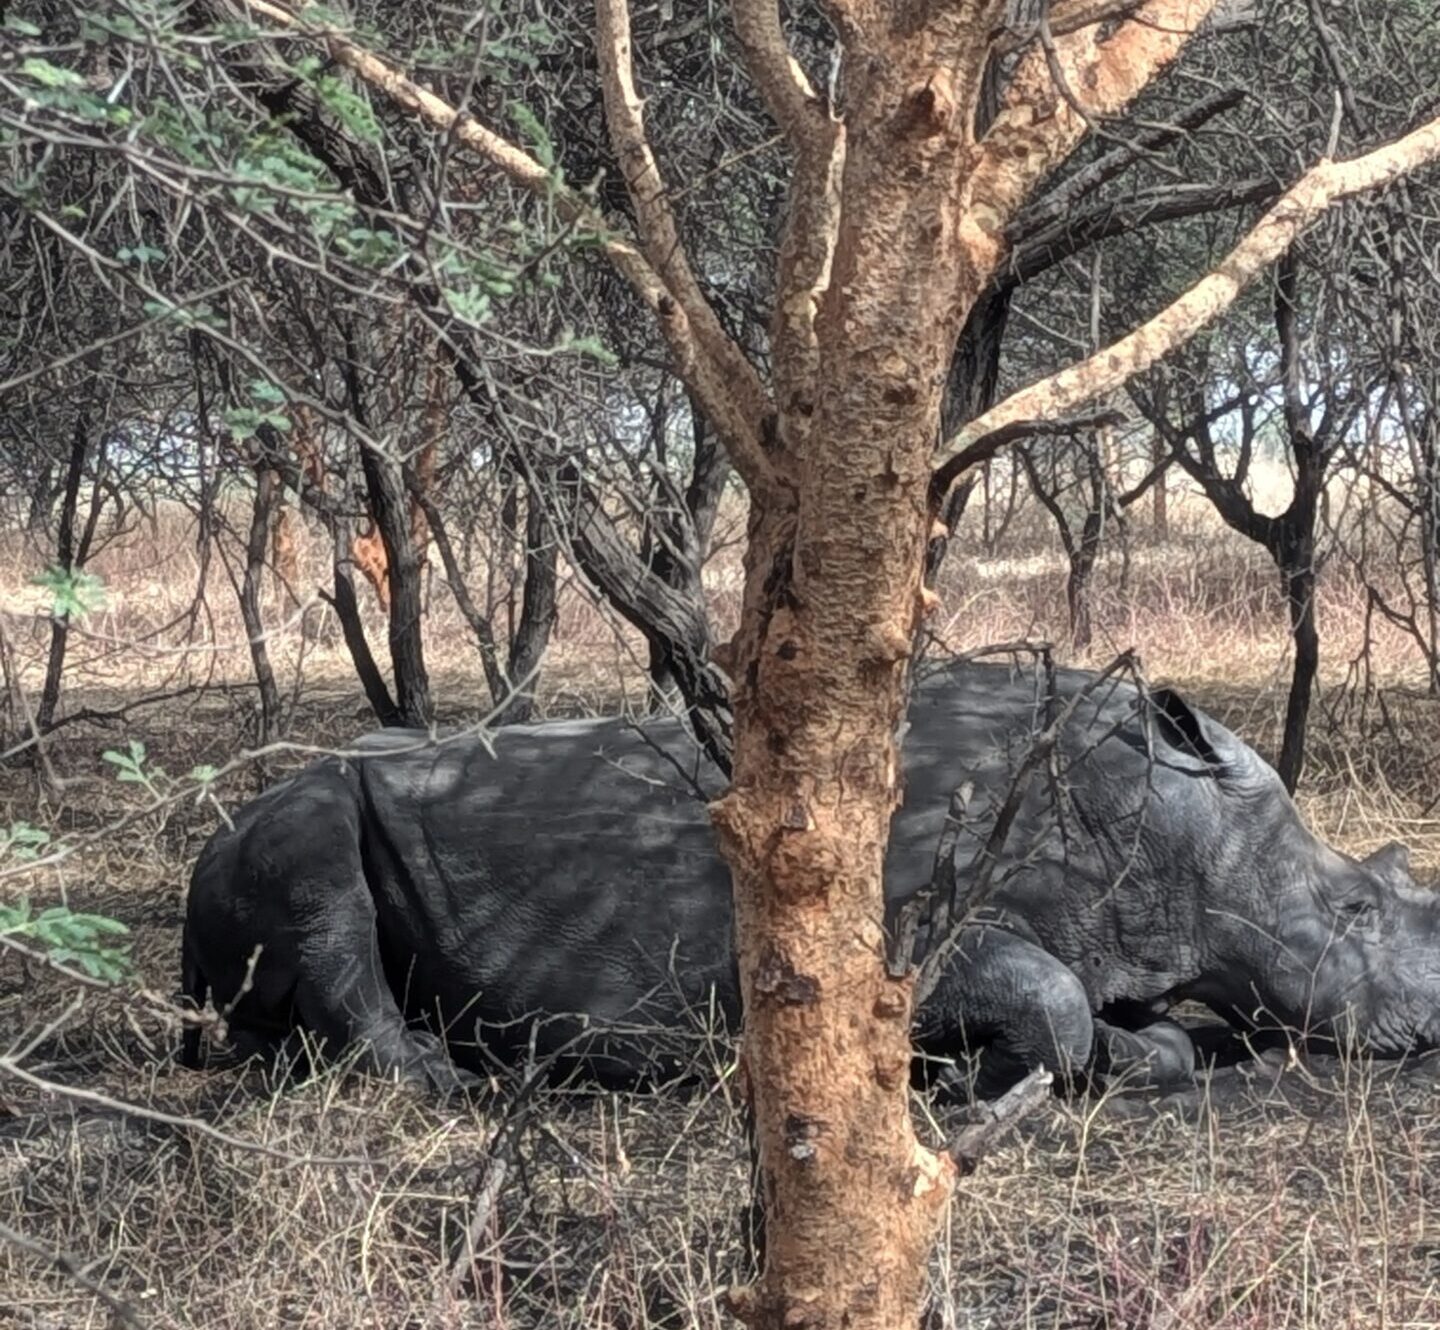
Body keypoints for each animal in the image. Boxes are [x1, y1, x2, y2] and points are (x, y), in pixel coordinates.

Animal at [180, 660, 1437, 1096]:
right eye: (1355, 910)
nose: (1429, 1029)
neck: (1154, 811)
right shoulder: (899, 933)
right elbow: (1053, 1000)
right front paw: (957, 1082)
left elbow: (1129, 1027)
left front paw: (1097, 1064)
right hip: (285, 816)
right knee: (317, 860)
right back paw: (451, 1080)